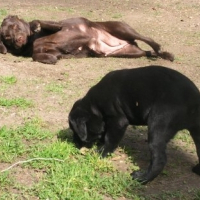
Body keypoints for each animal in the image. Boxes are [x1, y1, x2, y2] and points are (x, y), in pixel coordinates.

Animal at [0, 15, 173, 64]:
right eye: (7, 37)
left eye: (15, 27)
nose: (18, 40)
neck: (31, 41)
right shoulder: (48, 50)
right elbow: (40, 55)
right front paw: (51, 58)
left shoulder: (57, 25)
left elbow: (41, 22)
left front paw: (36, 25)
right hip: (130, 52)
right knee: (147, 51)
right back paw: (161, 55)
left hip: (122, 29)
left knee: (148, 39)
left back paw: (163, 51)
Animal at [69, 65, 200, 184]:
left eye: (76, 132)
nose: (74, 143)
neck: (94, 105)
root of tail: (194, 100)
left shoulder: (118, 121)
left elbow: (110, 138)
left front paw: (102, 152)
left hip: (159, 124)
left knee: (159, 158)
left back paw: (142, 178)